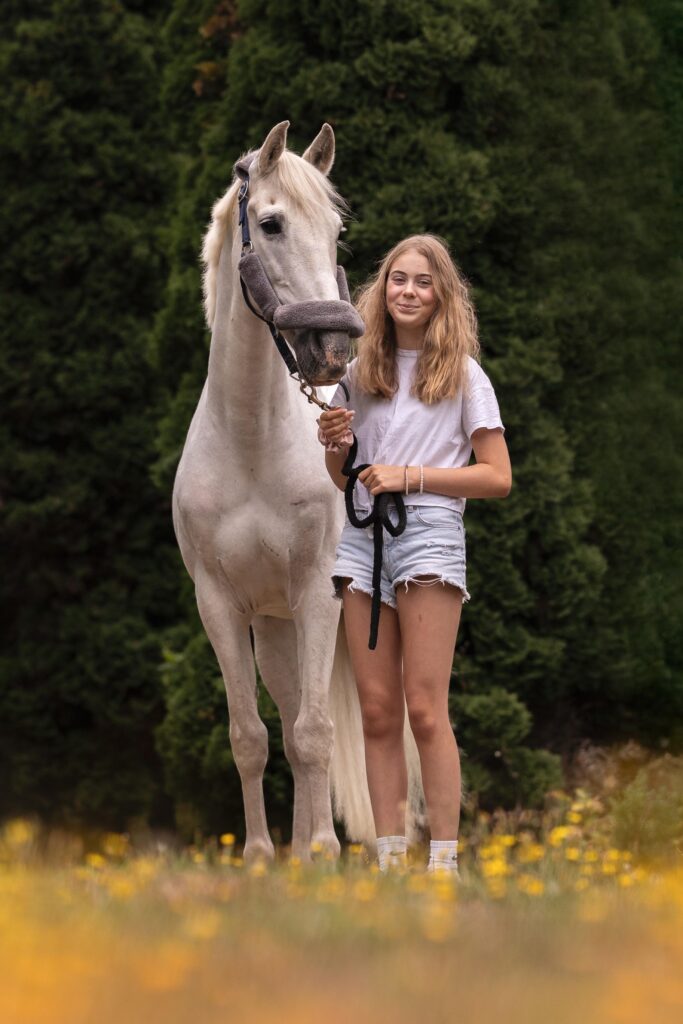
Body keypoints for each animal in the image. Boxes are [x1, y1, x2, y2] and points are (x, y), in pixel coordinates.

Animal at [172, 121, 422, 862]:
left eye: (335, 230)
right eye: (271, 223)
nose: (331, 348)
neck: (251, 440)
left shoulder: (316, 592)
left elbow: (315, 735)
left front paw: (318, 853)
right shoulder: (221, 606)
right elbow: (251, 737)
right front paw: (260, 858)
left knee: (323, 726)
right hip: (276, 626)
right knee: (284, 720)